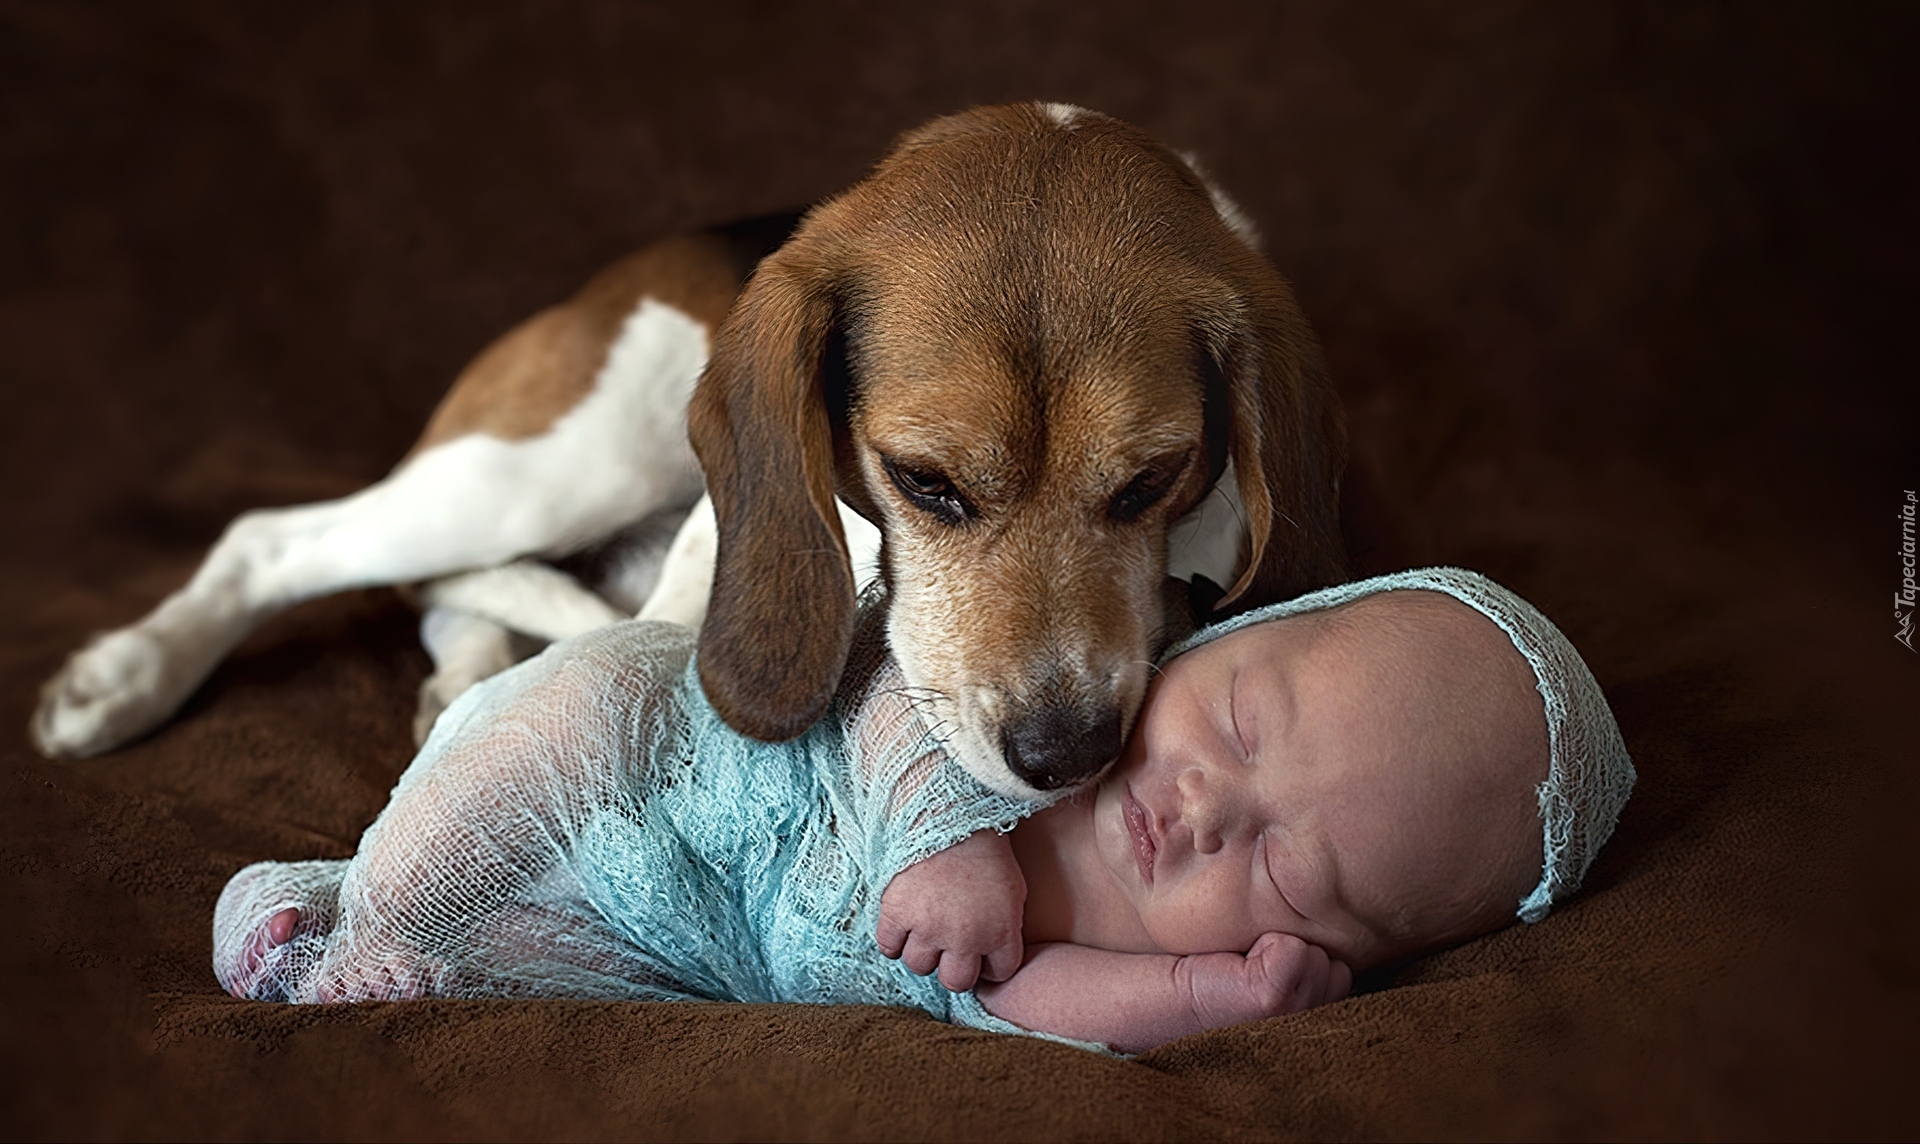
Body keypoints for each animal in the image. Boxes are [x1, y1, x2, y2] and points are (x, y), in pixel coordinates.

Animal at [33, 105, 1351, 794]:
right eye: (923, 482)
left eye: (1153, 478)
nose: (1065, 754)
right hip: (559, 465)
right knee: (283, 541)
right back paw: (126, 677)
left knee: (442, 598)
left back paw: (462, 682)